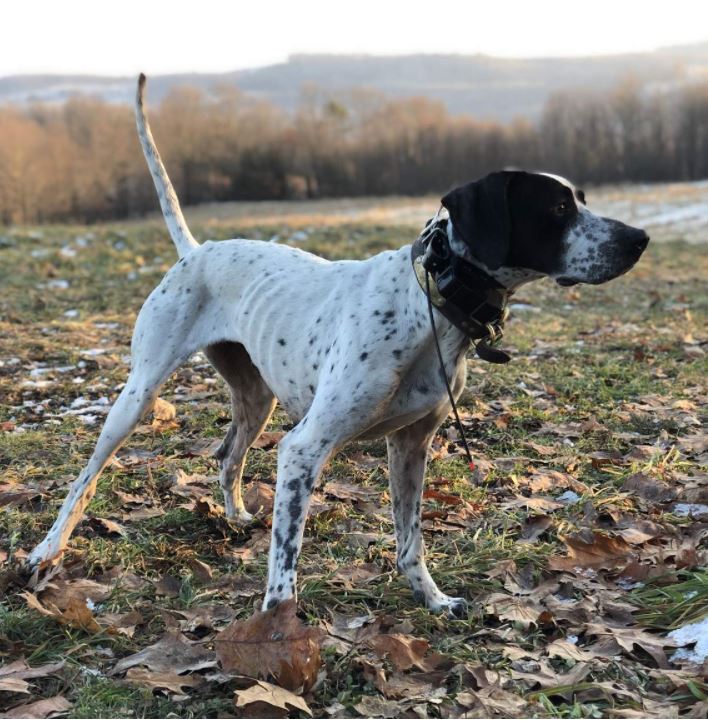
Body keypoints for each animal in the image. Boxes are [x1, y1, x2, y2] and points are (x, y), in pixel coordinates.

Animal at [26, 76, 648, 616]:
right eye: (558, 209)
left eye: (582, 200)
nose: (639, 239)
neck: (429, 301)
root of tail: (195, 251)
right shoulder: (303, 449)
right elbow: (286, 565)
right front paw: (278, 634)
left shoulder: (411, 446)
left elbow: (410, 542)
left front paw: (433, 600)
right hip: (137, 397)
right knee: (84, 482)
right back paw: (45, 552)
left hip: (256, 398)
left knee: (227, 457)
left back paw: (236, 517)